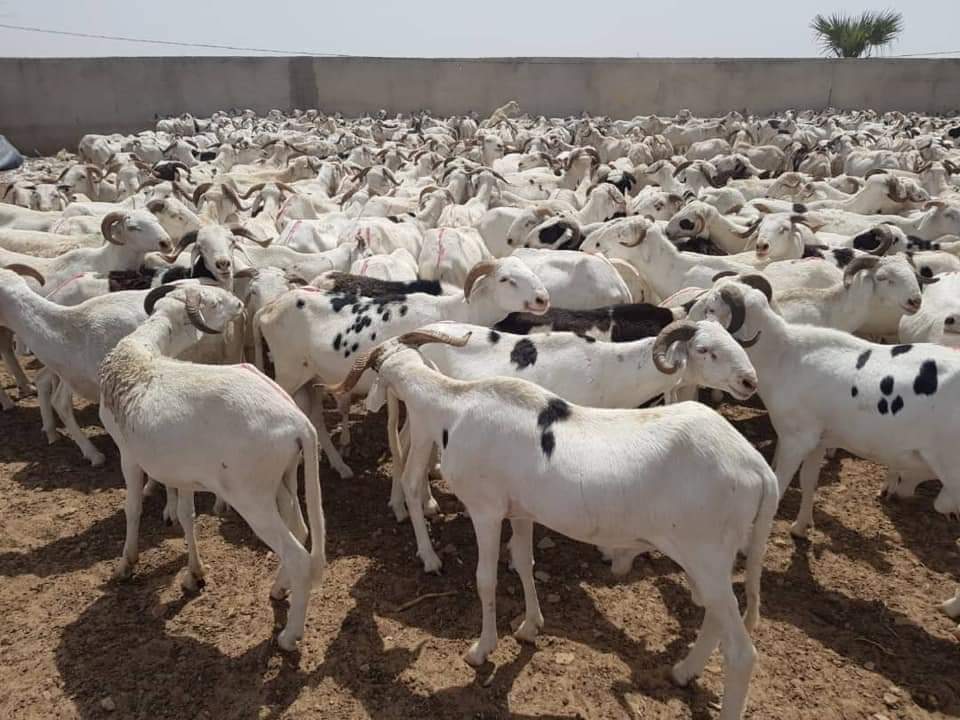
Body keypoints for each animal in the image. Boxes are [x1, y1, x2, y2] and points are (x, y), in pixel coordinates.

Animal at [100, 282, 326, 652]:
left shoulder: (127, 454)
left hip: (252, 498)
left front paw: (126, 564)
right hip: (284, 480)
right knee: (302, 530)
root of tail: (299, 423)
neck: (139, 356)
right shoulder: (182, 472)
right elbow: (186, 515)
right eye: (215, 302)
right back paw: (280, 588)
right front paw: (194, 574)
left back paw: (289, 636)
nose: (239, 305)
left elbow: (132, 509)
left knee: (298, 555)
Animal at [326, 328, 776, 720]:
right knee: (715, 618)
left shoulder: (486, 510)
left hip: (706, 554)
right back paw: (682, 671)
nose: (748, 380)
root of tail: (757, 468)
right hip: (710, 560)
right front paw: (529, 627)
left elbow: (485, 579)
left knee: (741, 652)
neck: (454, 404)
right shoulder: (522, 512)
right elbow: (524, 563)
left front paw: (481, 649)